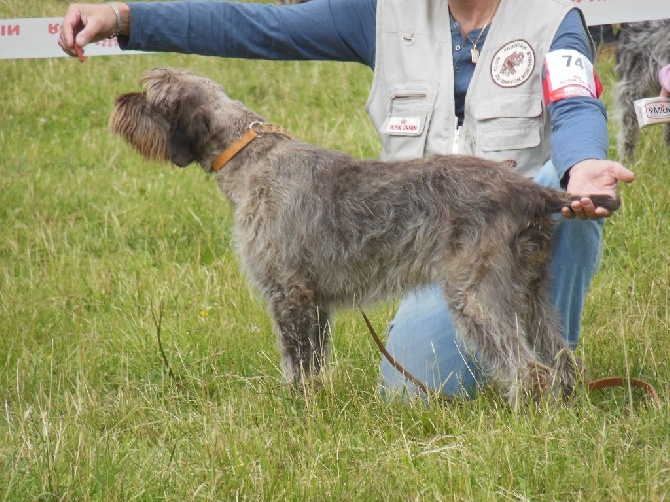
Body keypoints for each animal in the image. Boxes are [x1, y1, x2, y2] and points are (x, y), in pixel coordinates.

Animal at [109, 67, 620, 404]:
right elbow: (314, 363)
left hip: (475, 295)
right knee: (561, 359)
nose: (119, 102)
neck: (250, 156)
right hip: (530, 293)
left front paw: (295, 409)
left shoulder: (289, 293)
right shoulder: (313, 302)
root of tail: (526, 189)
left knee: (529, 370)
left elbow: (297, 364)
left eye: (152, 95)